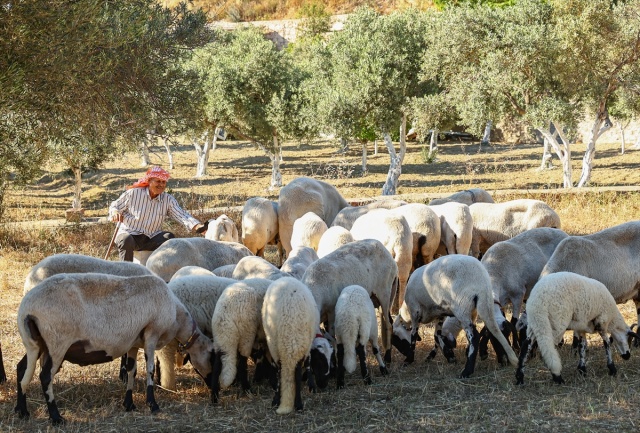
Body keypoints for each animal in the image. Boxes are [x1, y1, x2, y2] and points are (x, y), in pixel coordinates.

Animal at [14, 272, 215, 424]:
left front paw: (129, 404)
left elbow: (132, 370)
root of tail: (26, 308)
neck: (177, 318)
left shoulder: (134, 342)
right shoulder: (152, 333)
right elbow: (149, 370)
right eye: (212, 355)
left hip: (36, 344)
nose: (213, 386)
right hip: (57, 342)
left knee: (22, 369)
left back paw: (22, 411)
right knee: (45, 377)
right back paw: (56, 417)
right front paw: (153, 405)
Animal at [260, 276, 320, 414]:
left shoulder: (301, 351)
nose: (284, 410)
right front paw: (276, 399)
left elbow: (297, 375)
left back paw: (311, 384)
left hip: (308, 342)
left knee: (308, 362)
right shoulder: (275, 349)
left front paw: (298, 403)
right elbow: (278, 373)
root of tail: (286, 277)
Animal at [390, 255, 520, 376]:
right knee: (491, 329)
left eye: (395, 338)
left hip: (462, 307)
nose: (404, 353)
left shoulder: (415, 312)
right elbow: (437, 336)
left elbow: (413, 336)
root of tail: (482, 282)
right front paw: (448, 356)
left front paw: (408, 359)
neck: (406, 312)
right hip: (480, 306)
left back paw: (467, 371)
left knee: (474, 336)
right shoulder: (440, 314)